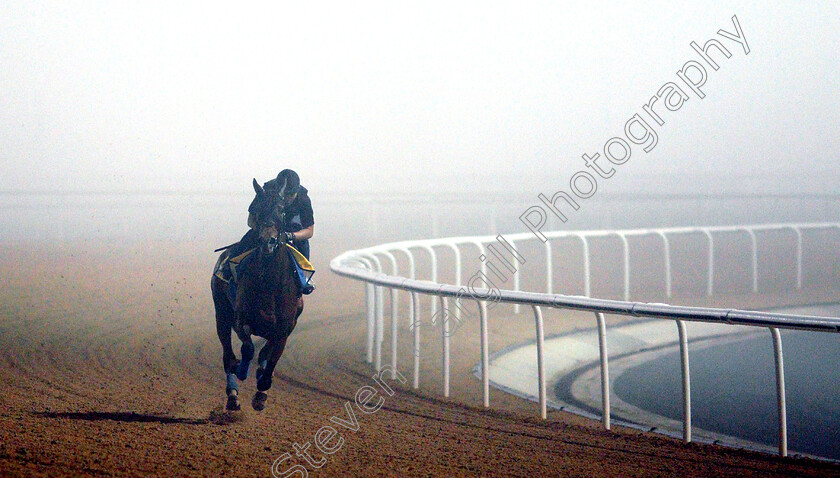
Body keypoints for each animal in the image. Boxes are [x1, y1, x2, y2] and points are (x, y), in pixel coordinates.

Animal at [212, 179, 304, 410]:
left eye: (282, 210)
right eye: (258, 210)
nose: (267, 242)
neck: (269, 284)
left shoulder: (285, 327)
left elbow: (271, 357)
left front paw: (262, 388)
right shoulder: (240, 319)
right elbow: (247, 350)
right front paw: (241, 370)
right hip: (221, 313)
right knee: (227, 353)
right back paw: (233, 393)